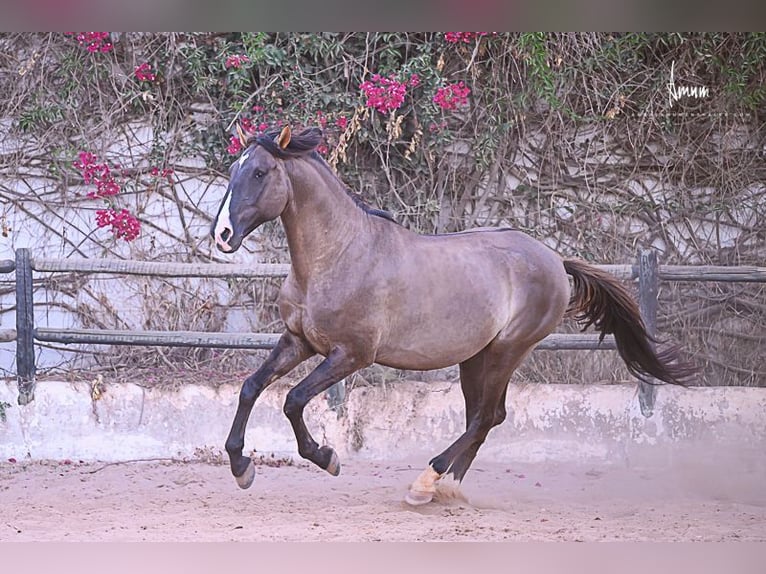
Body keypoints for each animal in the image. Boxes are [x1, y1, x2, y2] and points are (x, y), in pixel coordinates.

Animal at [210, 125, 696, 505]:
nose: (223, 235)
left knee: (485, 417)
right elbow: (251, 388)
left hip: (507, 350)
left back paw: (426, 483)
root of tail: (555, 260)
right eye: (234, 169)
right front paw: (240, 466)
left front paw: (327, 458)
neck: (339, 255)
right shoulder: (299, 341)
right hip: (475, 358)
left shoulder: (351, 355)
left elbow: (293, 400)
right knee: (484, 416)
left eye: (259, 172)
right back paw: (447, 488)